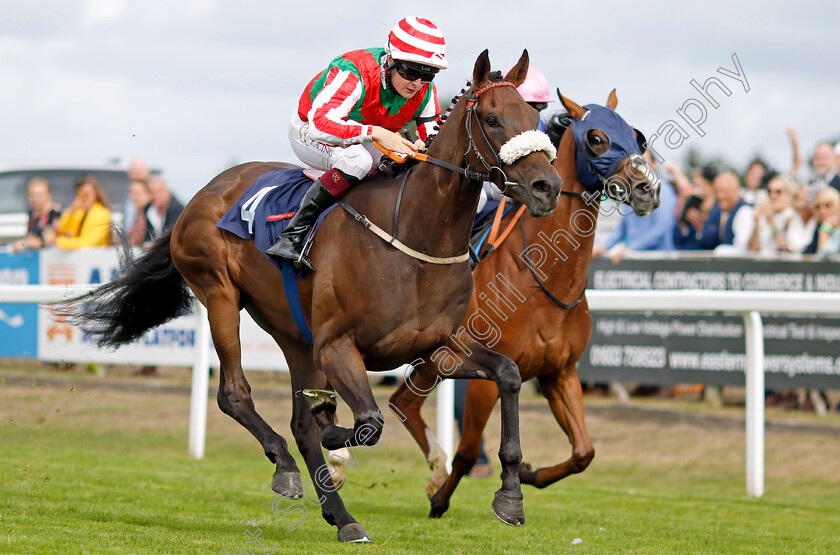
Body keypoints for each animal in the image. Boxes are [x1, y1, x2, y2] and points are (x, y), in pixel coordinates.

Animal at [64, 50, 564, 540]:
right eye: (492, 118)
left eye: (534, 118)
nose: (547, 187)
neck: (415, 237)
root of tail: (201, 194)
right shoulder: (338, 345)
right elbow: (367, 424)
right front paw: (336, 440)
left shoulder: (437, 346)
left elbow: (508, 374)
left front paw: (511, 495)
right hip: (221, 296)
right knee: (236, 395)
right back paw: (287, 466)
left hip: (293, 333)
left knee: (300, 424)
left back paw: (343, 518)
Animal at [390, 89, 660, 520]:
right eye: (597, 138)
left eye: (638, 137)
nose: (648, 188)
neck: (543, 277)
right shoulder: (485, 378)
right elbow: (468, 452)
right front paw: (442, 500)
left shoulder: (560, 373)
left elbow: (584, 452)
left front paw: (531, 473)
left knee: (402, 402)